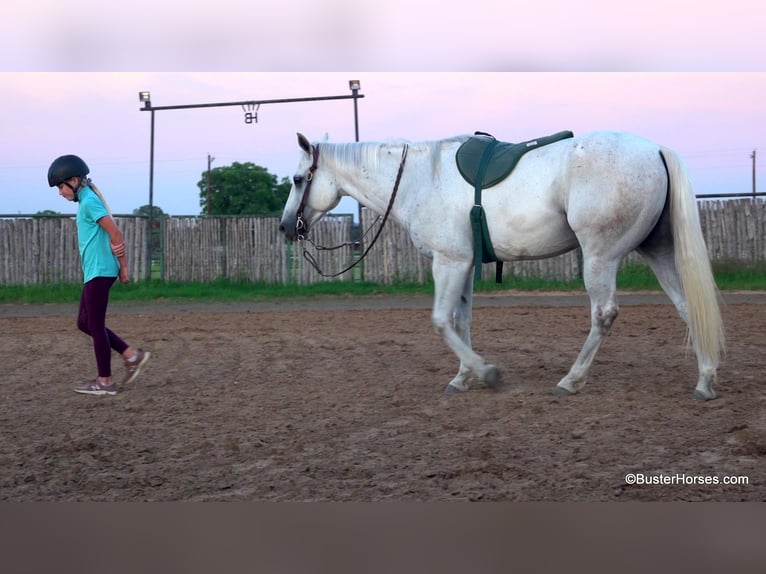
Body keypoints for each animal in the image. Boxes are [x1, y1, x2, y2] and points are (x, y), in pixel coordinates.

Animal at [282, 130, 728, 400]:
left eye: (298, 179)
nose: (288, 227)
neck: (420, 179)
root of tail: (655, 150)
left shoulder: (448, 263)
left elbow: (441, 321)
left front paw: (485, 372)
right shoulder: (463, 265)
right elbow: (461, 321)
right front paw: (462, 376)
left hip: (601, 258)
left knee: (604, 314)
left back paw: (571, 380)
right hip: (657, 252)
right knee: (688, 308)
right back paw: (705, 380)